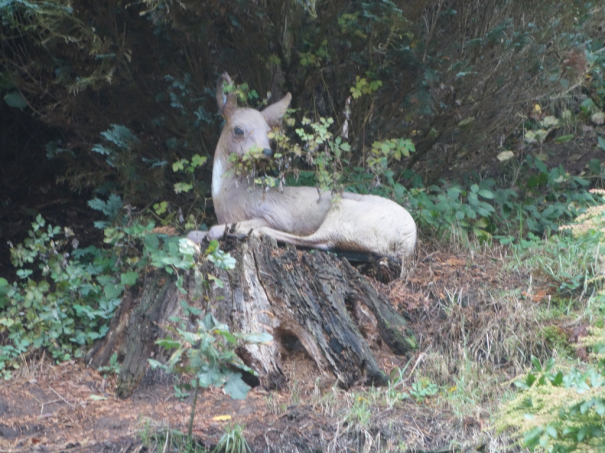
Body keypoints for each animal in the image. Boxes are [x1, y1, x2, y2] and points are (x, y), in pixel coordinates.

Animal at [186, 73, 418, 260]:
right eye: (238, 130)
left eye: (269, 134)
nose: (266, 152)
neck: (232, 199)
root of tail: (407, 241)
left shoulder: (275, 214)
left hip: (346, 215)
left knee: (320, 240)